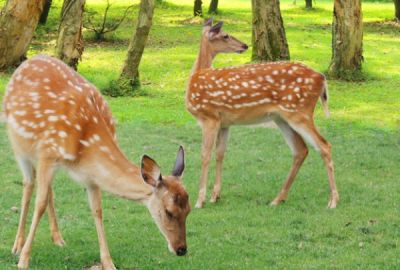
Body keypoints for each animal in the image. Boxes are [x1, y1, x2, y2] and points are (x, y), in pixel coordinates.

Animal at [3, 54, 191, 270]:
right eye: (169, 212)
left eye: (189, 210)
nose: (181, 249)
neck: (85, 146)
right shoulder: (47, 153)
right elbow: (39, 204)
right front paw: (24, 260)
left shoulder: (90, 176)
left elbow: (97, 210)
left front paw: (108, 262)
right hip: (18, 145)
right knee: (28, 184)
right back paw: (17, 245)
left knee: (48, 189)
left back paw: (57, 238)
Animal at [187, 18, 338, 209]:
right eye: (225, 35)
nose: (244, 45)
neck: (196, 76)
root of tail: (322, 78)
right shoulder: (224, 123)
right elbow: (220, 154)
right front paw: (215, 196)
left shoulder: (209, 117)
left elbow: (204, 155)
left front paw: (200, 201)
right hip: (282, 117)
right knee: (300, 150)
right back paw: (278, 199)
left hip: (299, 112)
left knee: (324, 145)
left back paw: (333, 201)